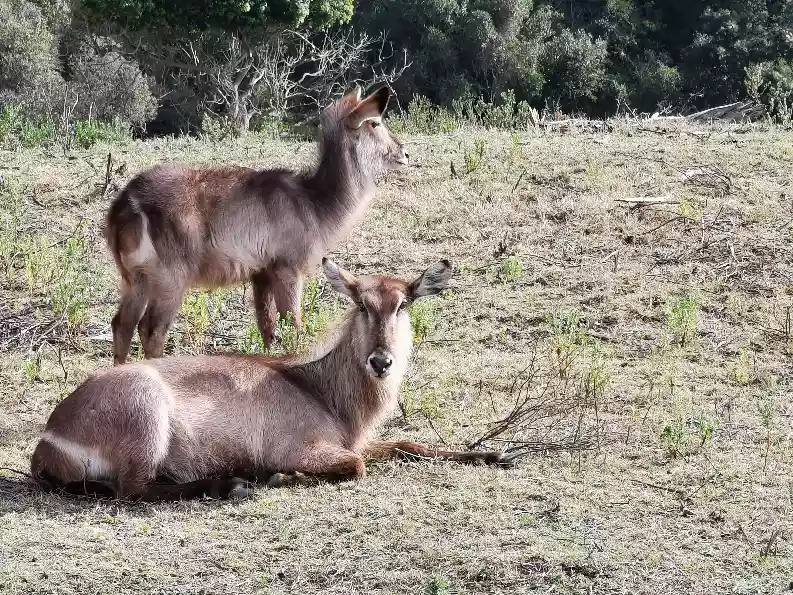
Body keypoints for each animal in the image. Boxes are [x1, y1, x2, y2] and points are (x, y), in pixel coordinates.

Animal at [31, 259, 516, 501]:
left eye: (404, 303)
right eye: (361, 303)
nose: (381, 361)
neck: (319, 389)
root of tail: (49, 436)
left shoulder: (357, 441)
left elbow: (405, 443)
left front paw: (494, 454)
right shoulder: (311, 449)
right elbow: (356, 467)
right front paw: (279, 477)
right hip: (145, 416)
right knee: (132, 491)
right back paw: (235, 485)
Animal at [106, 86, 407, 365]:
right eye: (375, 122)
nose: (404, 152)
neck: (313, 202)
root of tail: (127, 201)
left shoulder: (261, 273)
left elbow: (268, 329)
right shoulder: (288, 269)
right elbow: (293, 327)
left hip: (135, 278)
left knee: (121, 324)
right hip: (171, 279)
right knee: (151, 331)